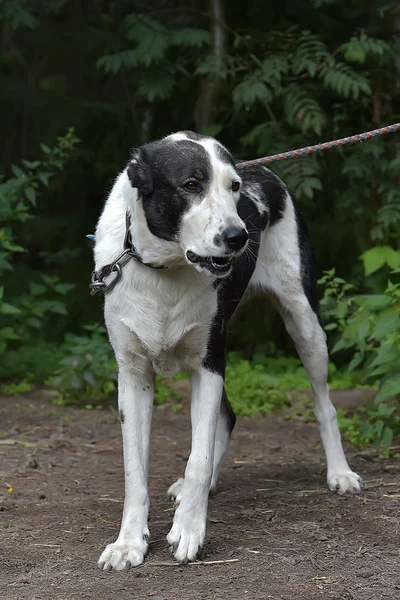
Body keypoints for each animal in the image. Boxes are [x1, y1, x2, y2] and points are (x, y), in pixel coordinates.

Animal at [94, 131, 362, 572]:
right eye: (190, 185)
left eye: (233, 188)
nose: (239, 237)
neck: (165, 270)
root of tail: (265, 169)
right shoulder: (133, 375)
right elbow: (135, 469)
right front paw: (128, 543)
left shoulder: (209, 364)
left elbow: (198, 457)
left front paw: (189, 530)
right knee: (228, 416)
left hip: (305, 324)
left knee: (325, 404)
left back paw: (340, 473)